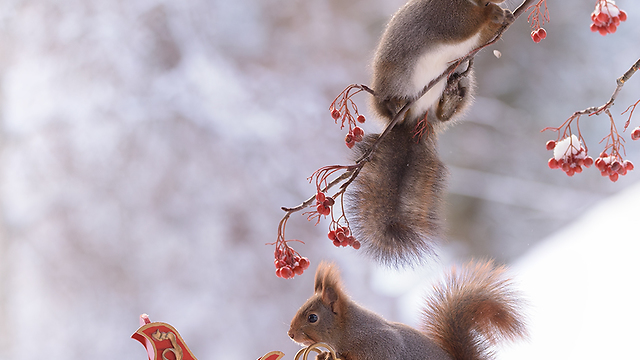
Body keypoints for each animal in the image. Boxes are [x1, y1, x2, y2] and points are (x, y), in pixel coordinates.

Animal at [344, 0, 516, 264]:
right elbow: (462, 26)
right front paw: (493, 13)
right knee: (391, 102)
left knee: (445, 110)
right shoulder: (443, 15)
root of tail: (413, 117)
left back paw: (451, 99)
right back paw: (395, 105)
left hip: (459, 81)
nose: (502, 4)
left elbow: (481, 38)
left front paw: (504, 17)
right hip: (394, 79)